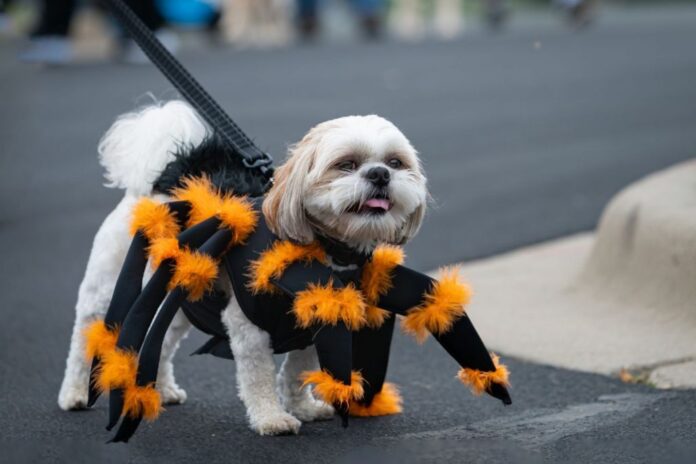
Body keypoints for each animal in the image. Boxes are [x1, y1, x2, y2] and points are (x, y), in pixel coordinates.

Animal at [58, 99, 430, 436]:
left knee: (162, 340)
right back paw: (75, 393)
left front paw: (303, 407)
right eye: (346, 164)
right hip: (104, 289)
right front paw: (272, 419)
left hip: (182, 300)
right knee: (84, 339)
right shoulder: (247, 327)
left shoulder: (317, 316)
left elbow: (298, 369)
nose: (380, 174)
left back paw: (161, 389)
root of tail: (158, 184)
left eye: (396, 162)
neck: (324, 249)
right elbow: (258, 376)